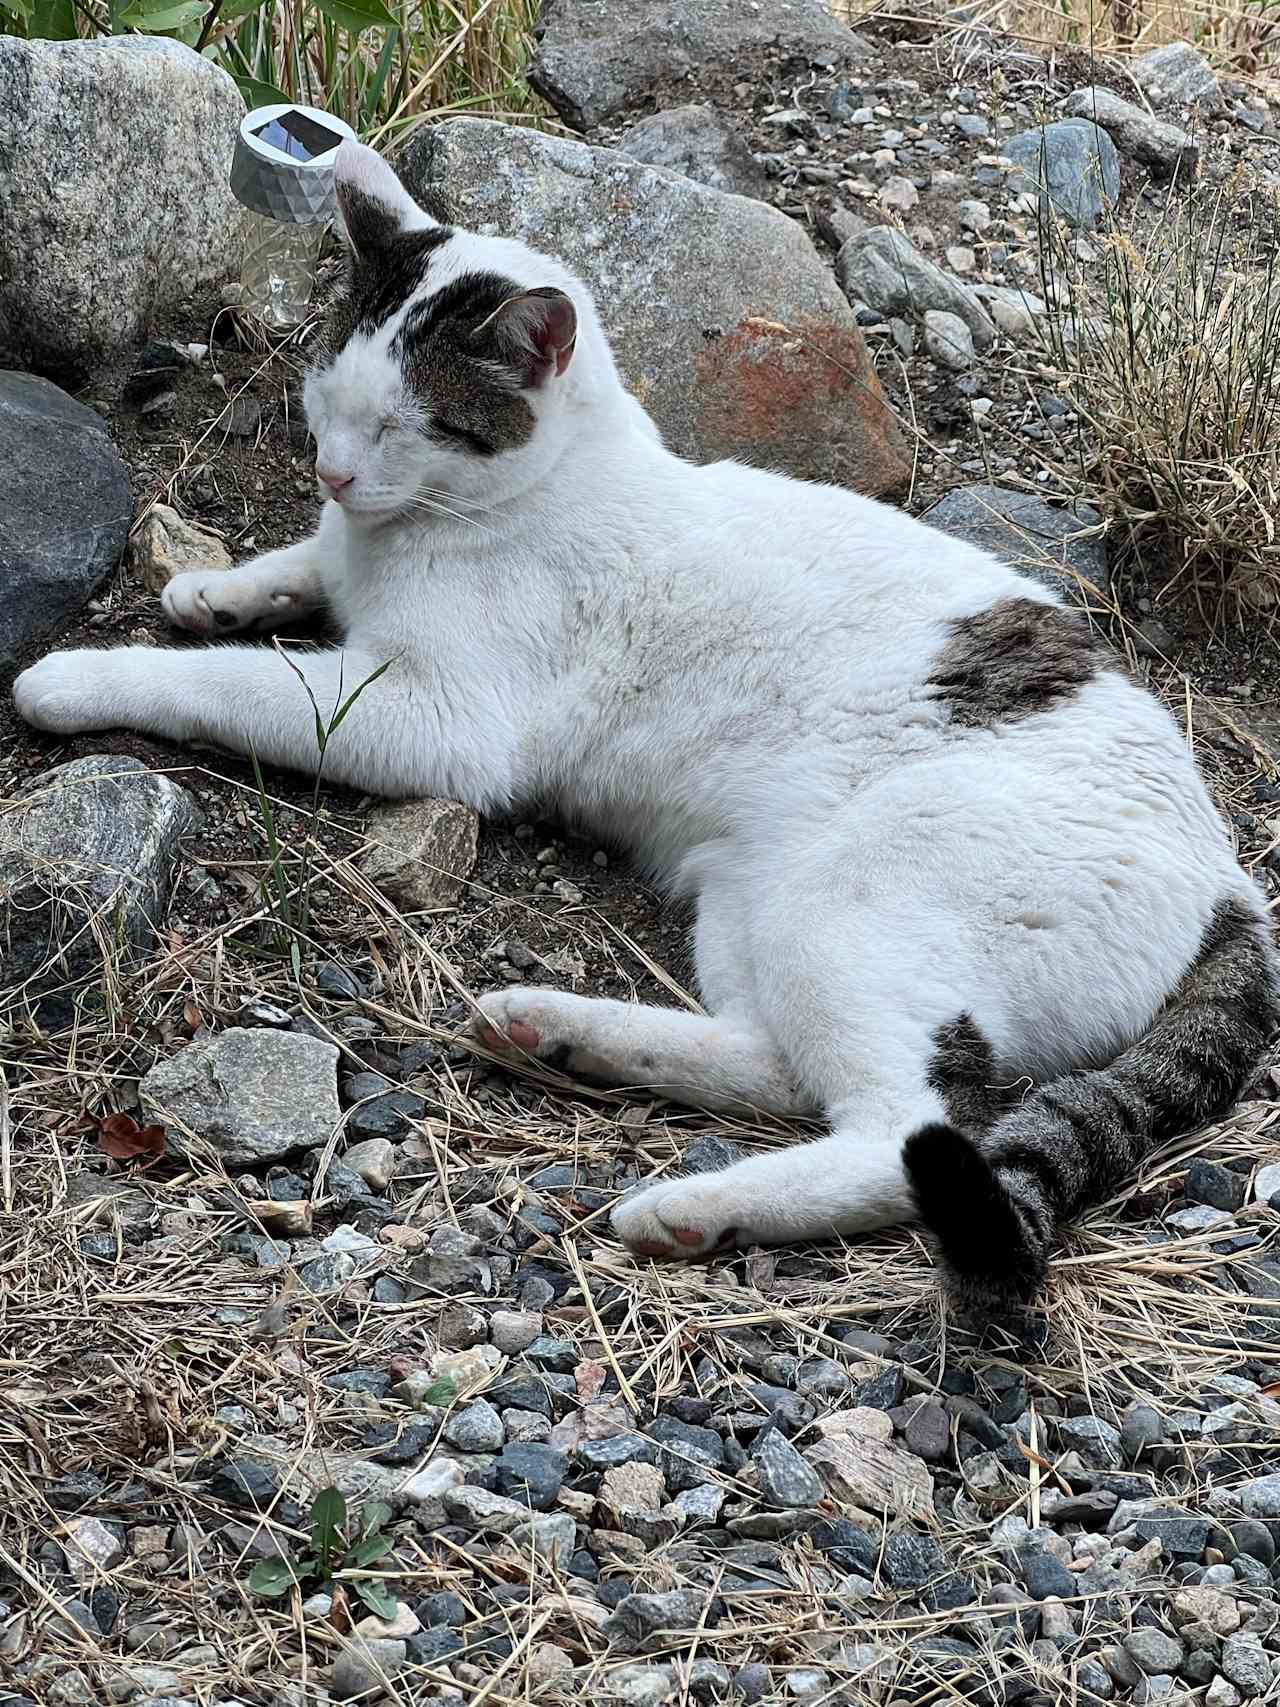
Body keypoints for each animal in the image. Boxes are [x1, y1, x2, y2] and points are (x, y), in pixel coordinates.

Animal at [12, 139, 1280, 1310]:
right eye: (329, 393)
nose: (328, 471)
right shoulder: (347, 570)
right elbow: (293, 575)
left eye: (410, 425)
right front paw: (214, 589)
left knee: (906, 1133)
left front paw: (83, 674)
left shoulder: (434, 717)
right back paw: (554, 1030)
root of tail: (1230, 884)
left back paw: (687, 1206)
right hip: (748, 902)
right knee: (785, 1068)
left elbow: (239, 683)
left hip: (846, 897)